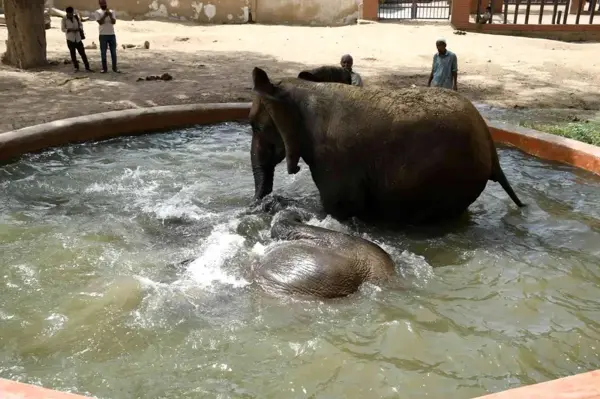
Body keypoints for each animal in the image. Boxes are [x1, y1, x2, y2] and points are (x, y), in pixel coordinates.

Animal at [248, 67, 524, 227]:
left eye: (256, 127)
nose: (258, 206)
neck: (301, 89)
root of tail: (490, 143)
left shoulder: (332, 158)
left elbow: (338, 207)